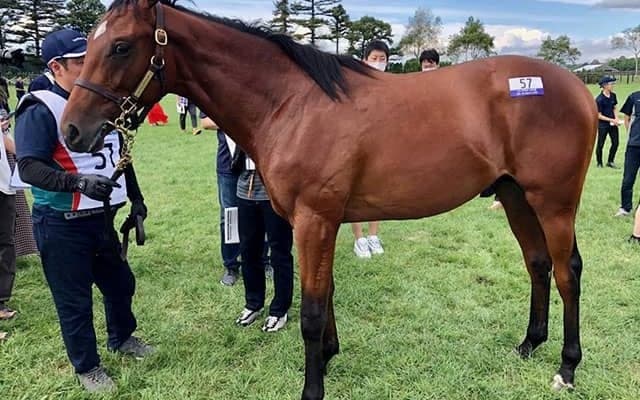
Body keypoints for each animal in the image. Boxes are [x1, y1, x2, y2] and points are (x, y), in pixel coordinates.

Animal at [60, 1, 597, 398]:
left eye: (121, 46)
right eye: (91, 43)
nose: (72, 130)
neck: (292, 104)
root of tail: (577, 87)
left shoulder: (314, 220)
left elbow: (312, 309)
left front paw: (312, 386)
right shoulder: (320, 222)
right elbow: (328, 292)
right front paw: (331, 356)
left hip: (552, 203)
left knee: (567, 272)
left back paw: (567, 367)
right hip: (515, 196)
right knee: (537, 264)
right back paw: (528, 344)